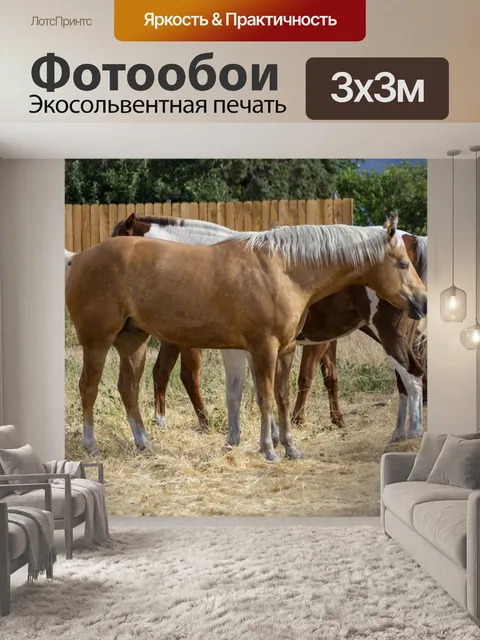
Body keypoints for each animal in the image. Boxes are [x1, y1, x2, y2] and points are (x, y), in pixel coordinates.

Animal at [66, 215, 426, 461]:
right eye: (401, 264)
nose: (422, 301)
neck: (282, 269)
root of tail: (78, 259)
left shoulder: (284, 349)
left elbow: (279, 396)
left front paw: (288, 446)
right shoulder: (260, 348)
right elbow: (260, 396)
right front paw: (268, 449)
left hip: (134, 341)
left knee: (128, 387)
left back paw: (144, 444)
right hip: (98, 342)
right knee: (89, 387)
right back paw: (91, 446)